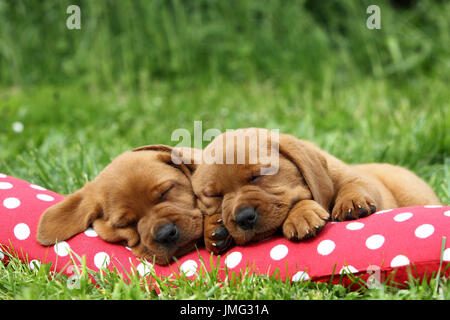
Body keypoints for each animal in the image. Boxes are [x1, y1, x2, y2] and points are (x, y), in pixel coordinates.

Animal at [192, 127, 442, 252]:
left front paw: (345, 204)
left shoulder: (358, 179)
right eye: (214, 195)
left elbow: (354, 185)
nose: (244, 217)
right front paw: (213, 229)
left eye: (258, 176)